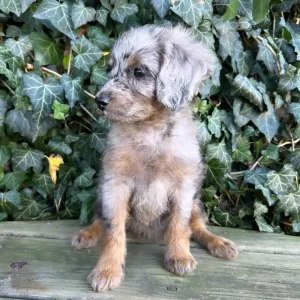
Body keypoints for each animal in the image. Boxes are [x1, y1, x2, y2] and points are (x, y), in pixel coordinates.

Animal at [71, 24, 238, 292]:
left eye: (139, 72)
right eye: (110, 70)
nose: (99, 101)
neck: (149, 130)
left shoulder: (184, 187)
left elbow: (180, 225)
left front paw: (179, 256)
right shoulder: (115, 184)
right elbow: (114, 230)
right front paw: (107, 269)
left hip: (196, 200)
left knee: (197, 225)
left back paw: (218, 243)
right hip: (100, 192)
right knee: (100, 218)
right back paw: (87, 234)